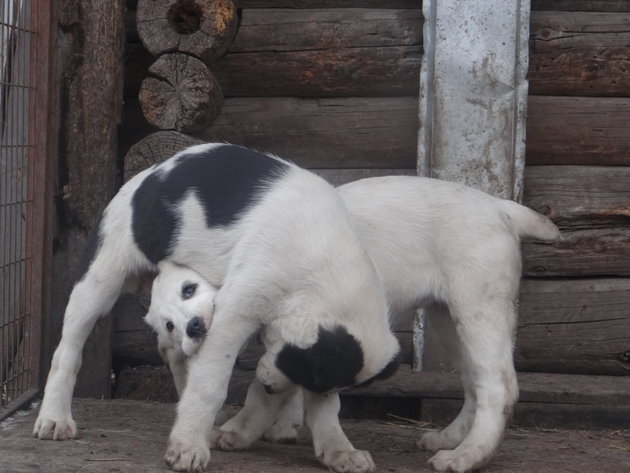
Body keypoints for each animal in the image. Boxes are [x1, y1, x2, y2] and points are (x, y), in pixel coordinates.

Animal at [152, 175, 564, 472]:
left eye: (190, 291)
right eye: (168, 328)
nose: (190, 332)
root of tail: (500, 207)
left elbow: (274, 386)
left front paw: (238, 430)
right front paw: (264, 429)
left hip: (479, 306)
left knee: (498, 385)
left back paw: (466, 457)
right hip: (447, 317)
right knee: (473, 381)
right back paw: (450, 439)